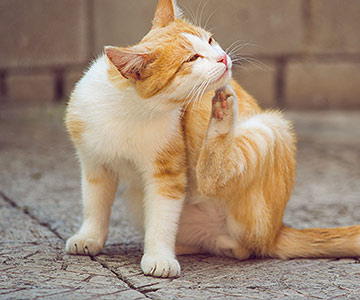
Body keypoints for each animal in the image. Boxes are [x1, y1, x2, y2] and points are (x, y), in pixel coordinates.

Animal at [66, 0, 360, 278]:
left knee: (213, 181)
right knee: (231, 246)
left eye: (209, 40)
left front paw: (159, 257)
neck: (130, 107)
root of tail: (276, 231)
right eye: (191, 59)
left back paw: (221, 114)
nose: (222, 59)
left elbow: (162, 217)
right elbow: (95, 204)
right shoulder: (94, 163)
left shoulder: (168, 175)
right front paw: (89, 237)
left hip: (271, 129)